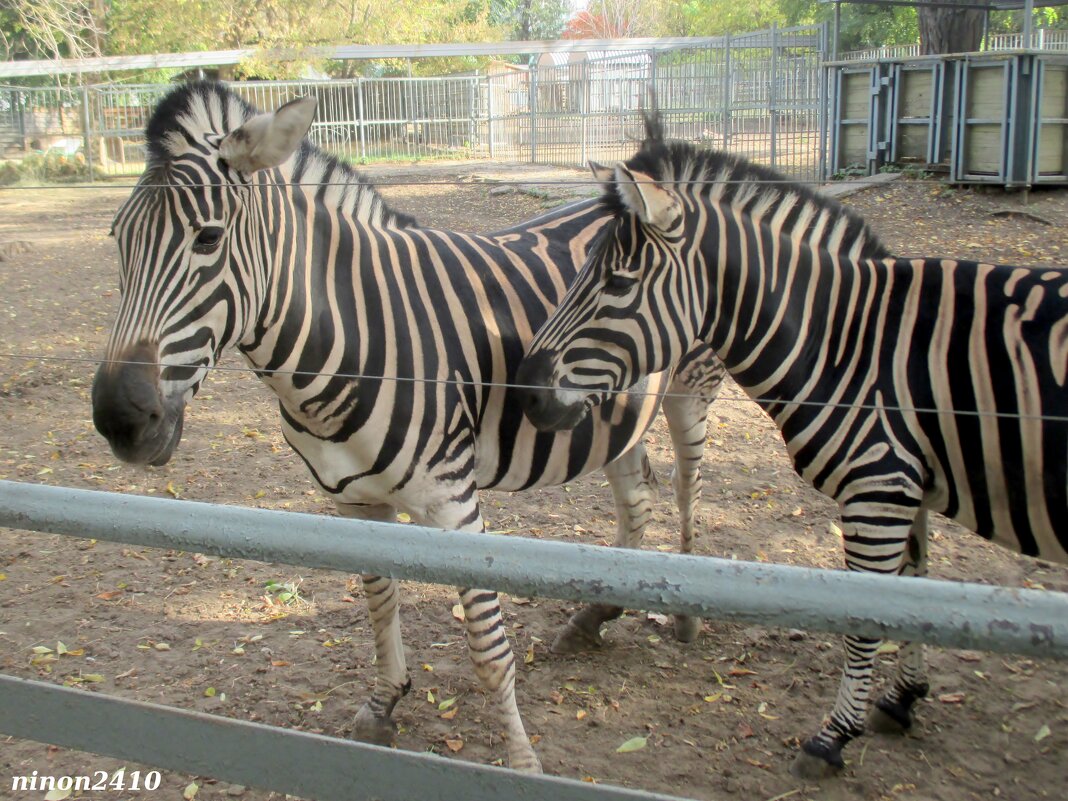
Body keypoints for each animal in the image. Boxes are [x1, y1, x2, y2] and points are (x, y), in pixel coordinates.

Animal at [89, 84, 726, 773]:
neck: (349, 339)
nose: (119, 419)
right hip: (615, 415)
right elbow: (379, 601)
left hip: (692, 386)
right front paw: (385, 701)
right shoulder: (352, 501)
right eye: (117, 239)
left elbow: (487, 649)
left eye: (207, 239)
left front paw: (523, 765)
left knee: (687, 484)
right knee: (635, 499)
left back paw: (685, 616)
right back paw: (596, 614)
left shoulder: (454, 504)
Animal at [512, 115, 1063, 781]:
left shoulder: (877, 488)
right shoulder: (907, 484)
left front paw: (832, 738)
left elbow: (869, 615)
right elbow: (915, 588)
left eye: (618, 282)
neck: (851, 345)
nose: (524, 392)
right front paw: (902, 699)